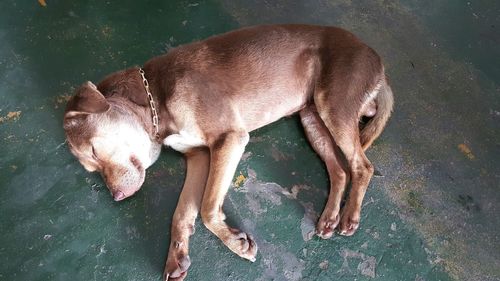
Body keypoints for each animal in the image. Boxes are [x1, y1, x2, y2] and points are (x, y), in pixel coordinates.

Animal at [62, 24, 392, 280]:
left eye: (94, 150)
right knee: (339, 169)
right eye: (91, 169)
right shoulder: (199, 156)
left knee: (361, 166)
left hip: (332, 105)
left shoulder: (229, 139)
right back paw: (329, 218)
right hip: (312, 118)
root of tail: (375, 58)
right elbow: (181, 213)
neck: (155, 99)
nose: (117, 196)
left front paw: (235, 242)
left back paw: (349, 217)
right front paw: (177, 256)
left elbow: (208, 208)